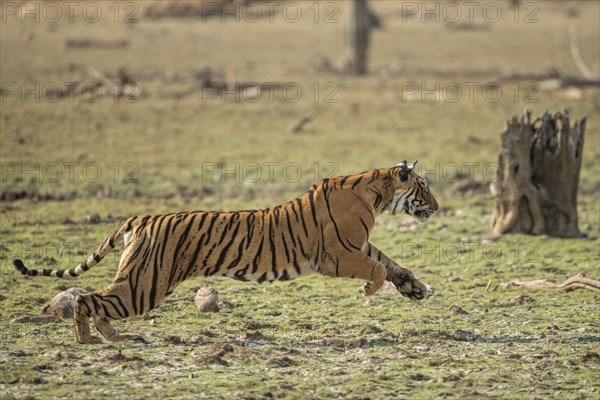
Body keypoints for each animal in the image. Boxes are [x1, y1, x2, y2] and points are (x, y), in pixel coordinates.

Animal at [12, 161, 436, 346]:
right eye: (424, 188)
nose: (437, 206)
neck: (378, 194)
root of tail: (142, 216)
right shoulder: (337, 255)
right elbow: (377, 270)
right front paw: (368, 291)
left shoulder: (357, 246)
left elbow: (391, 264)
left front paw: (415, 289)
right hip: (144, 285)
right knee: (87, 298)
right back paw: (88, 340)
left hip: (138, 283)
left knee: (97, 300)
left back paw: (117, 336)